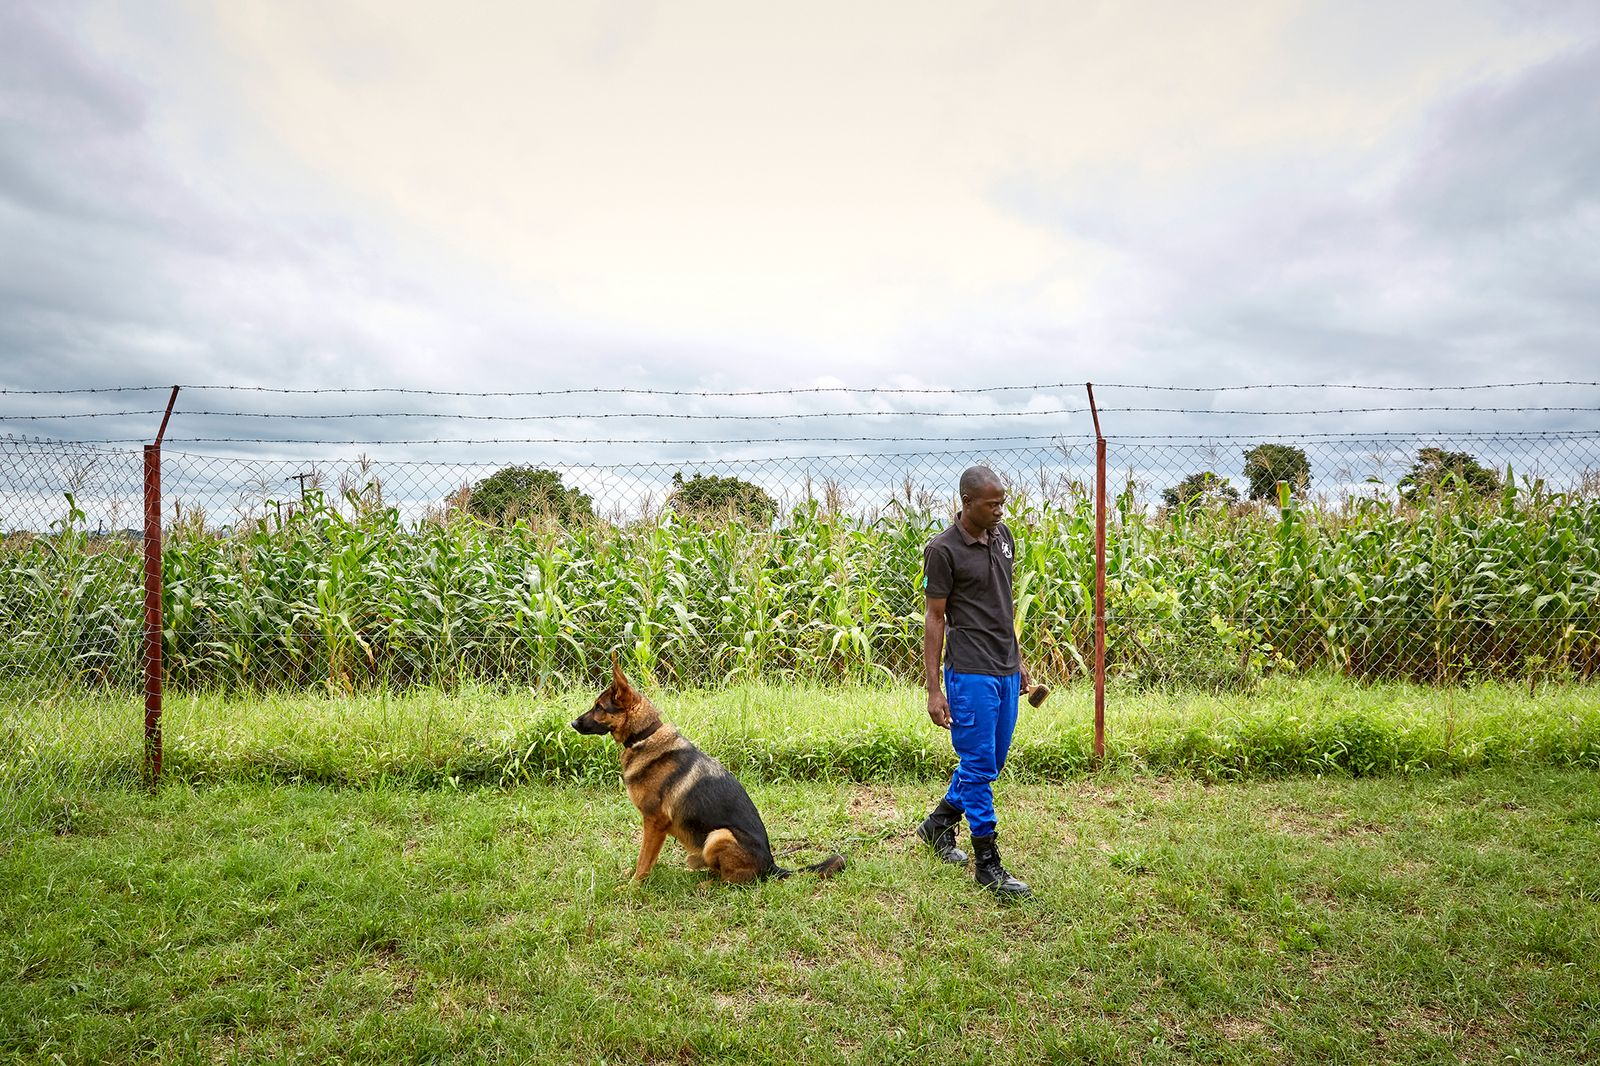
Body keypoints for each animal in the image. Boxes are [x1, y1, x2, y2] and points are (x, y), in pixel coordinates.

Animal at [576, 656, 851, 877]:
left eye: (599, 707)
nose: (572, 723)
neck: (644, 735)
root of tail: (772, 866)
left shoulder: (654, 822)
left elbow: (644, 859)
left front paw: (633, 886)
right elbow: (644, 859)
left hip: (719, 835)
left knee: (733, 881)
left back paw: (706, 885)